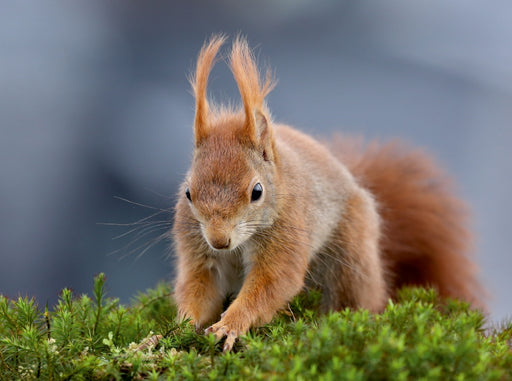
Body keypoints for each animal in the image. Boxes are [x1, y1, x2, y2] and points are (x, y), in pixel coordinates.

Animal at [172, 35, 484, 350]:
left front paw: (230, 325)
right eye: (187, 193)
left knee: (355, 300)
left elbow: (273, 283)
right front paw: (178, 328)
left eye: (257, 191)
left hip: (350, 258)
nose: (219, 240)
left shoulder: (289, 232)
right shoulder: (199, 250)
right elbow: (199, 288)